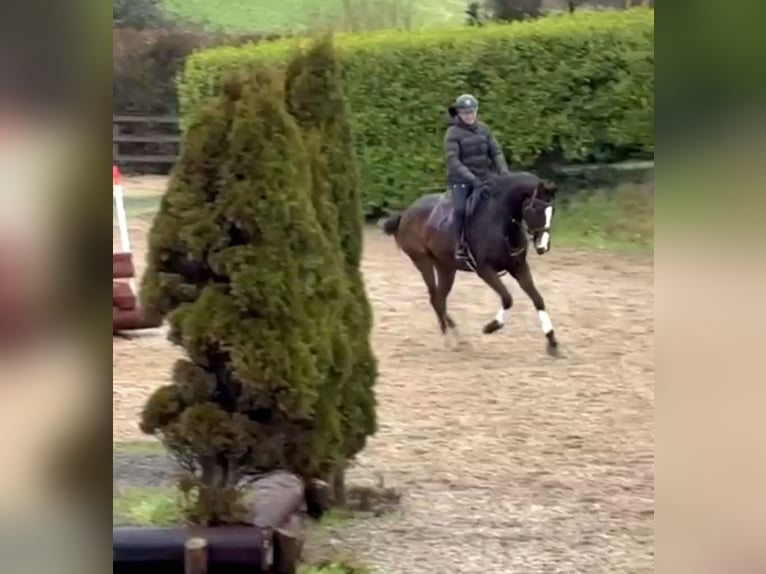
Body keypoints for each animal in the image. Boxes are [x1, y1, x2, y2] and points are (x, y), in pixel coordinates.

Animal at [380, 173, 560, 358]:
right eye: (535, 208)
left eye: (552, 211)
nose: (543, 247)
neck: (500, 223)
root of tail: (406, 213)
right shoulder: (485, 270)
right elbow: (507, 299)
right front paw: (491, 327)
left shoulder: (519, 267)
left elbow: (538, 299)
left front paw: (552, 342)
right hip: (423, 262)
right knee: (434, 298)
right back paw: (447, 338)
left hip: (445, 267)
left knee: (439, 298)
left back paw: (457, 337)